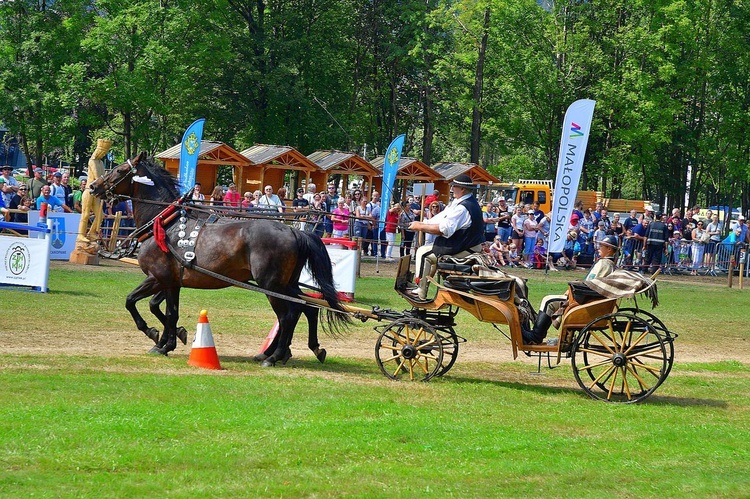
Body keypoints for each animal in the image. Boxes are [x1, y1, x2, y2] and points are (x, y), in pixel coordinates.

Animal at [89, 153, 352, 368]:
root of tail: (294, 231)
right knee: (306, 308)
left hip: (272, 285)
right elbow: (163, 309)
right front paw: (169, 339)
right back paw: (298, 350)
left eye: (120, 170)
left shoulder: (158, 277)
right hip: (288, 284)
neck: (165, 222)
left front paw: (157, 337)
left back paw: (274, 356)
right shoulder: (171, 282)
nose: (93, 186)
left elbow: (134, 302)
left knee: (289, 314)